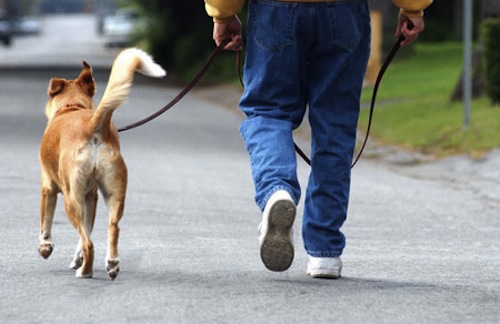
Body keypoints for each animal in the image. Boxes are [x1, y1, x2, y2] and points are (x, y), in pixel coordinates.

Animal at [38, 48, 166, 278]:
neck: (72, 107)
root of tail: (92, 125)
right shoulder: (92, 196)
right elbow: (87, 231)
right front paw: (77, 258)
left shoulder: (48, 188)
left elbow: (46, 222)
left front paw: (45, 247)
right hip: (114, 193)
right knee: (112, 227)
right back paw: (112, 263)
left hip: (72, 198)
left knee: (88, 242)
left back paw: (85, 272)